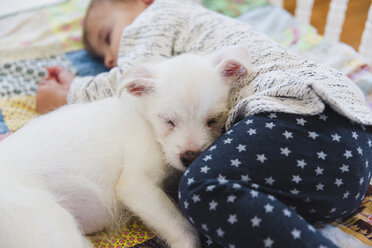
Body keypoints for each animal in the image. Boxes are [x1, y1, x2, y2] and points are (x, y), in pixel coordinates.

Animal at [0, 49, 250, 248]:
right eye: (168, 121)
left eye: (212, 120)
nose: (190, 157)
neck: (146, 121)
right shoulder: (135, 184)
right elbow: (182, 227)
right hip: (50, 228)